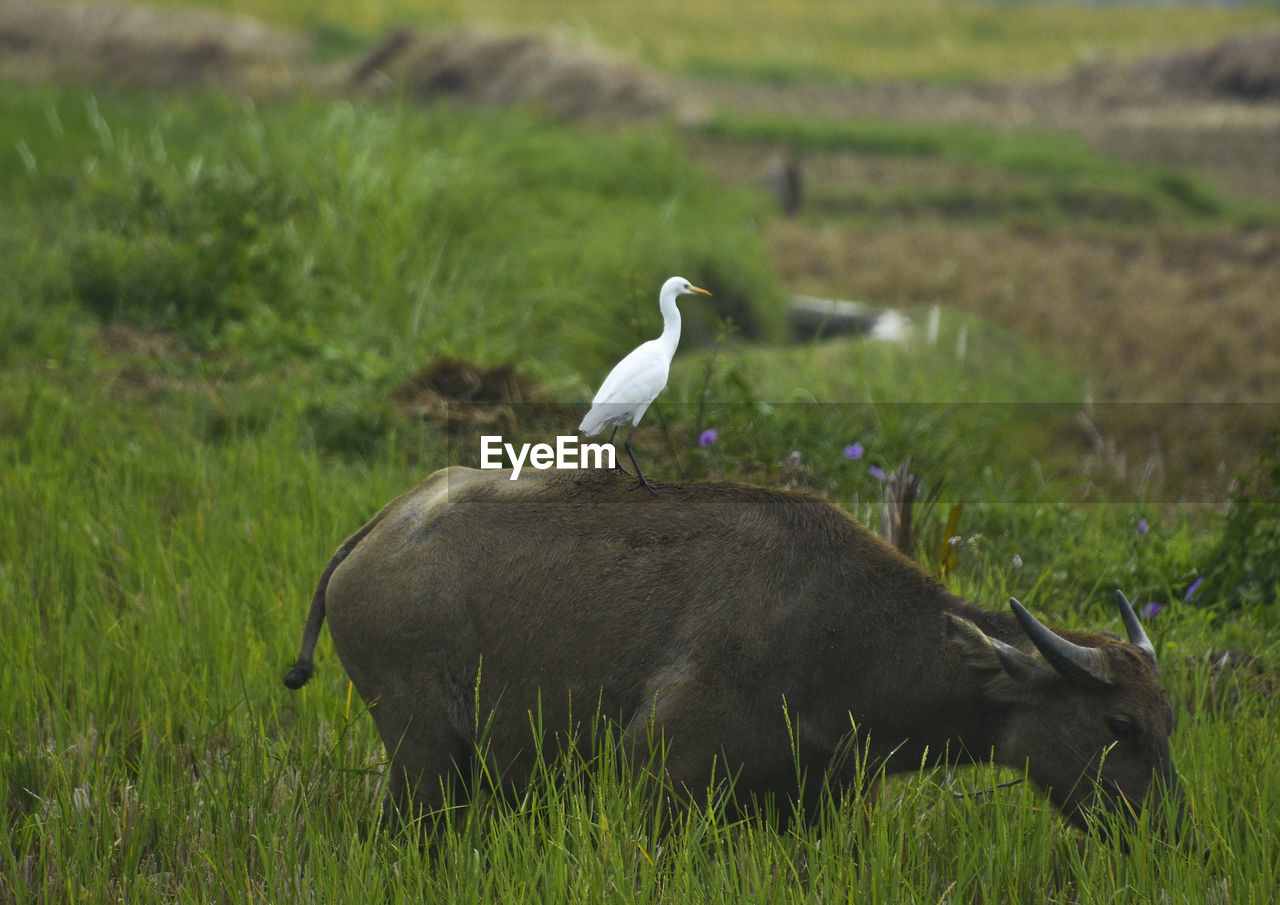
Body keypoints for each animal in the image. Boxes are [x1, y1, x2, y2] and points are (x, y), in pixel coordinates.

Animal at [285, 468, 1182, 834]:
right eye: (1117, 724)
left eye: (1167, 722)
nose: (1169, 830)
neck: (851, 631)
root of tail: (375, 531)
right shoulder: (665, 776)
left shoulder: (812, 801)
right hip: (424, 753)